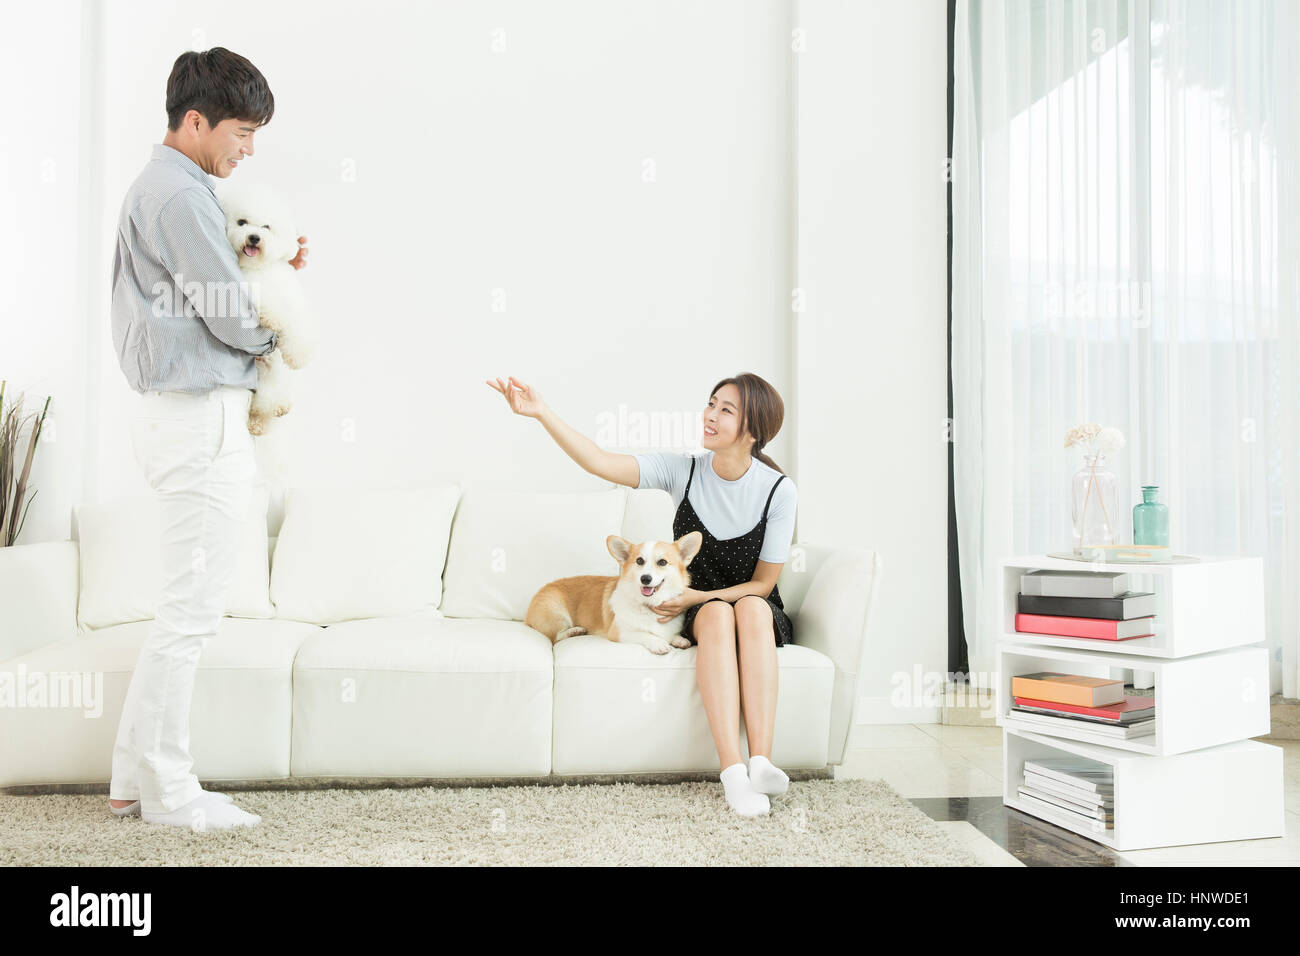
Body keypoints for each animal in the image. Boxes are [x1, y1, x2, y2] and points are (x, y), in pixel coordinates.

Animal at [215, 180, 314, 434]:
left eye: (266, 227)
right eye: (242, 222)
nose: (254, 237)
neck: (259, 269)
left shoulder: (293, 297)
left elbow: (299, 328)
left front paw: (298, 355)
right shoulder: (247, 287)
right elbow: (269, 305)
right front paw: (275, 319)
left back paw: (278, 408)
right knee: (260, 409)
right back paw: (260, 419)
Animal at [522, 535, 702, 655]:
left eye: (662, 562)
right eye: (639, 561)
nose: (645, 579)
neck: (649, 606)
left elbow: (670, 634)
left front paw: (678, 639)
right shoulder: (619, 633)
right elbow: (644, 634)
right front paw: (658, 643)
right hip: (558, 614)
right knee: (555, 637)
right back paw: (574, 631)